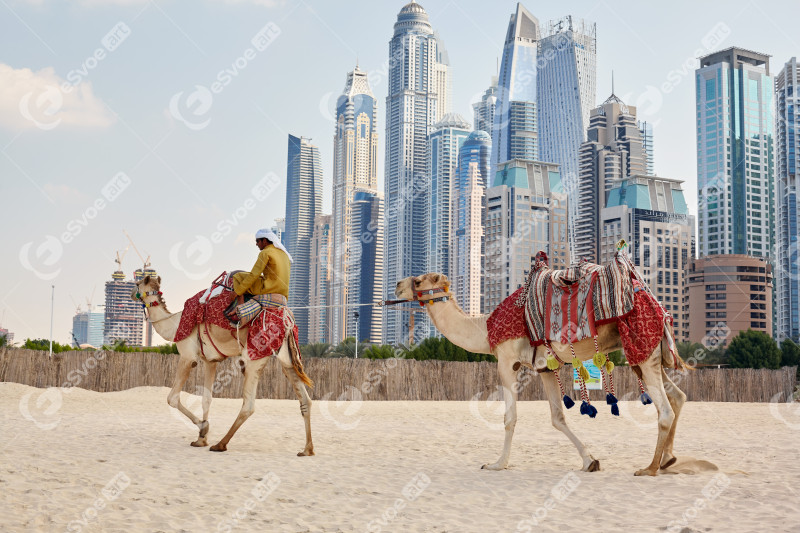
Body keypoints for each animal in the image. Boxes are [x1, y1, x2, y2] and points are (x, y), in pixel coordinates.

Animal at [133, 274, 314, 454]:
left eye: (137, 283)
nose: (131, 293)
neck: (174, 325)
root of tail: (288, 320)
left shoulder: (187, 356)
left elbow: (172, 398)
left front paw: (203, 428)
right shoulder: (210, 361)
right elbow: (206, 399)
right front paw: (201, 439)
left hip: (254, 356)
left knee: (248, 406)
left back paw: (220, 444)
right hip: (287, 359)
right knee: (305, 399)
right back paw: (307, 449)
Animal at [394, 272, 688, 476]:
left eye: (418, 280)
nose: (397, 285)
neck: (485, 327)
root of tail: (659, 306)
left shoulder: (507, 361)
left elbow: (509, 418)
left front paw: (497, 464)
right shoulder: (547, 367)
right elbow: (558, 418)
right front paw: (590, 461)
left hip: (641, 346)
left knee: (665, 409)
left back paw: (649, 468)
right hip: (649, 353)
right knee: (678, 396)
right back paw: (669, 460)